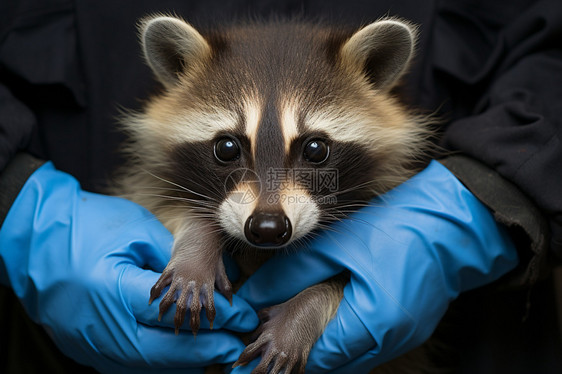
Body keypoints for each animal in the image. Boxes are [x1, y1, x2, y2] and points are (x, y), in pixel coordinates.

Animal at [116, 14, 434, 374]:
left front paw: (301, 315)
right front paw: (196, 247)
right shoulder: (148, 178)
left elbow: (343, 283)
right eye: (227, 148)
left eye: (315, 149)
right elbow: (159, 201)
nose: (267, 228)